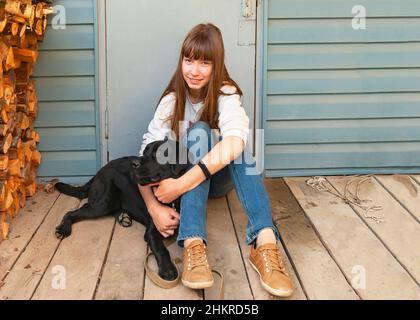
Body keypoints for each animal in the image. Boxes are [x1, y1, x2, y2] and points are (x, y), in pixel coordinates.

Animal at [55, 139, 189, 280]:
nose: (134, 163)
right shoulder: (153, 230)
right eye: (144, 152)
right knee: (71, 212)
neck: (173, 199)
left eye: (158, 154)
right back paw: (64, 229)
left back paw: (123, 217)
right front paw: (168, 269)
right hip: (103, 203)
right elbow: (160, 248)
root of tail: (99, 171)